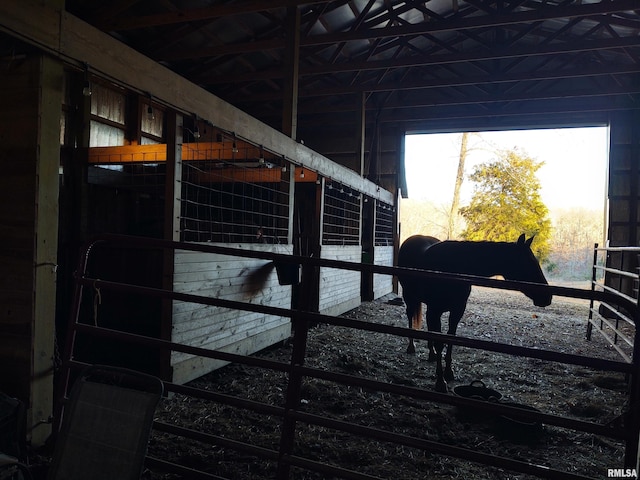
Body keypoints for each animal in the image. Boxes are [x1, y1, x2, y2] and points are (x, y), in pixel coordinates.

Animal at [396, 233, 552, 394]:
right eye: (529, 263)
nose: (547, 297)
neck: (452, 269)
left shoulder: (457, 311)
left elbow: (450, 338)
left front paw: (449, 372)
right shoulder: (435, 310)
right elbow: (440, 342)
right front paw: (440, 382)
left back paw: (431, 354)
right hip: (410, 298)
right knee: (410, 316)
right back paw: (411, 347)